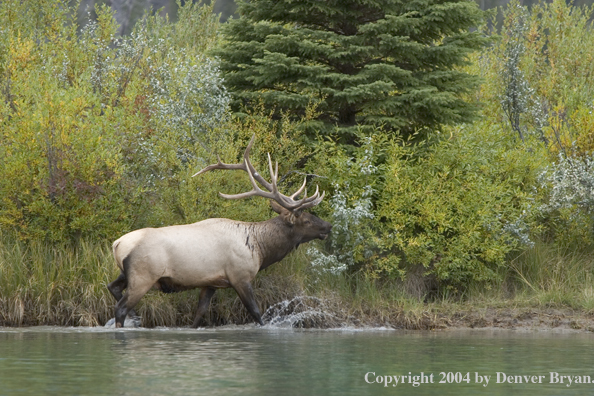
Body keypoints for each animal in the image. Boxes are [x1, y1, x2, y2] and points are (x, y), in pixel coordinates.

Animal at [106, 136, 328, 328]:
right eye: (307, 220)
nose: (328, 226)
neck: (260, 248)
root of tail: (117, 244)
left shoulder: (211, 283)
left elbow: (199, 315)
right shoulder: (240, 276)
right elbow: (256, 312)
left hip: (126, 273)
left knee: (112, 287)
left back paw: (136, 317)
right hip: (143, 275)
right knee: (120, 308)